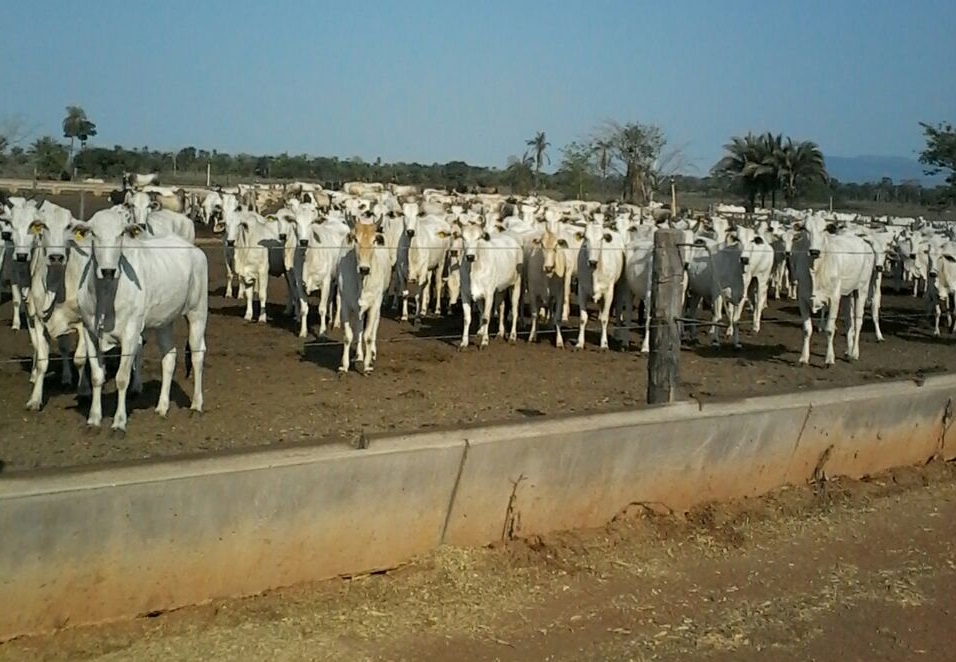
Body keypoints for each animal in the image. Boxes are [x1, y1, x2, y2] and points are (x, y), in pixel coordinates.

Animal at [75, 210, 207, 434]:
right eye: (93, 233)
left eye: (121, 233)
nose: (108, 270)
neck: (106, 293)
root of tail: (193, 249)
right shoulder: (90, 332)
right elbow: (96, 377)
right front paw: (93, 418)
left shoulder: (130, 333)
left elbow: (122, 378)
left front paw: (119, 421)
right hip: (164, 322)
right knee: (169, 356)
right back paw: (162, 407)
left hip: (197, 312)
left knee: (197, 355)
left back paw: (196, 404)